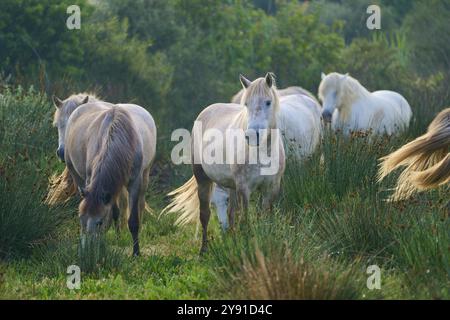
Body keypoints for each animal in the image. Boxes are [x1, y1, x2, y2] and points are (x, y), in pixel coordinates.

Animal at [50, 92, 156, 255]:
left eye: (99, 222)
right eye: (57, 125)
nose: (86, 250)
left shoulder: (135, 182)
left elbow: (133, 220)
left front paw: (136, 252)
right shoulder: (92, 180)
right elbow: (113, 211)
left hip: (144, 176)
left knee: (140, 203)